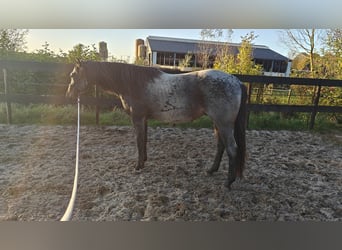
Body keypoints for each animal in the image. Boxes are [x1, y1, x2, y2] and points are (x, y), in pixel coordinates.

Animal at [65, 61, 247, 188]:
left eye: (73, 76)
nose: (69, 94)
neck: (132, 83)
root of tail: (236, 82)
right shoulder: (144, 118)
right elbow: (144, 140)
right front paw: (144, 160)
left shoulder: (138, 118)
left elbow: (139, 141)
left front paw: (138, 166)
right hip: (218, 123)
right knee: (221, 146)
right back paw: (211, 170)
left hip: (224, 124)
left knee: (232, 149)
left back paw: (228, 182)